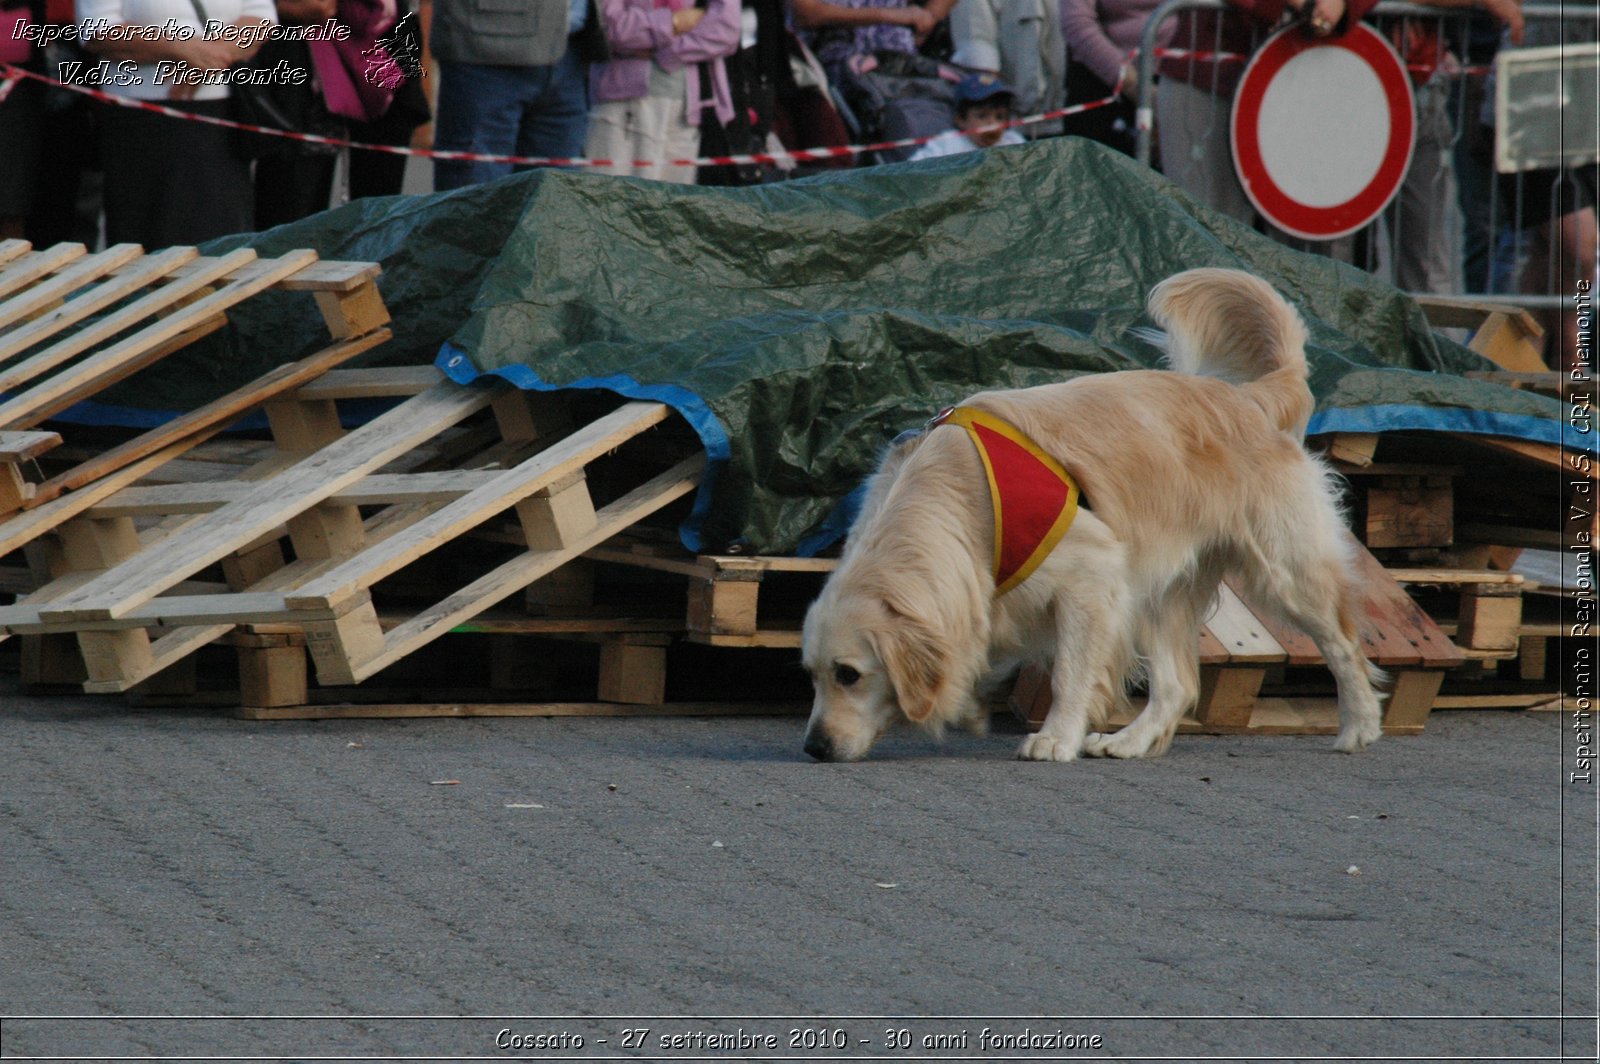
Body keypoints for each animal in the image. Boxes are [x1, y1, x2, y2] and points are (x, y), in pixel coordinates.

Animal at [800, 270, 1388, 758]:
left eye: (848, 675)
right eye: (810, 675)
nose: (814, 747)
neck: (955, 501)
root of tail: (1249, 398)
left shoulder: (1091, 575)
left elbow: (1070, 672)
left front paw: (1055, 738)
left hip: (1285, 571)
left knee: (1343, 644)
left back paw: (1359, 726)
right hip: (1159, 589)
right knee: (1177, 685)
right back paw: (1130, 742)